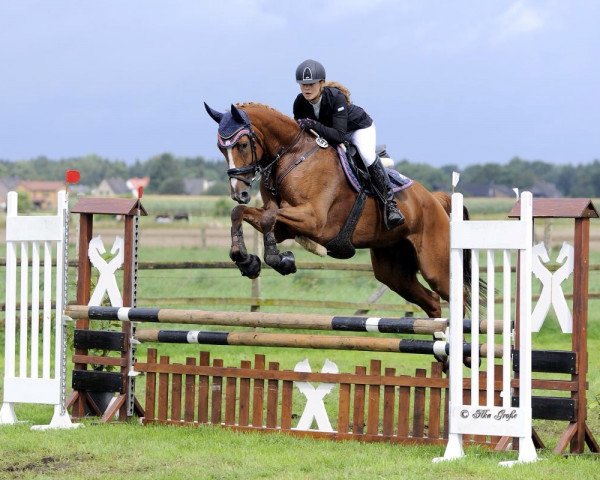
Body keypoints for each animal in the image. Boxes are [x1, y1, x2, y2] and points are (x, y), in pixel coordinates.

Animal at [204, 101, 466, 318]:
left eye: (242, 145)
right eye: (220, 148)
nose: (239, 193)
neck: (293, 154)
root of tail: (435, 200)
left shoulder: (313, 220)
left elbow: (269, 216)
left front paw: (277, 259)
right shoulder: (285, 228)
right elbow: (241, 213)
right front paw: (246, 260)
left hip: (435, 266)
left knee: (456, 298)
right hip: (393, 269)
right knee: (432, 302)